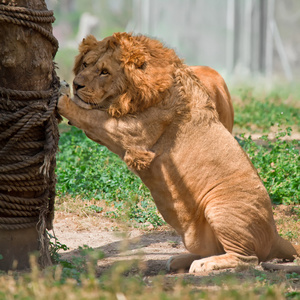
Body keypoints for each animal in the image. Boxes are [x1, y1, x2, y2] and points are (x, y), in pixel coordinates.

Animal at [57, 31, 298, 274]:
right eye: (85, 64)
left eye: (104, 72)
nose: (76, 84)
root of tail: (276, 235)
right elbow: (89, 117)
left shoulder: (132, 133)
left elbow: (91, 117)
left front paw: (60, 95)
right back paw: (180, 260)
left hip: (221, 208)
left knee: (248, 259)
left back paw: (204, 264)